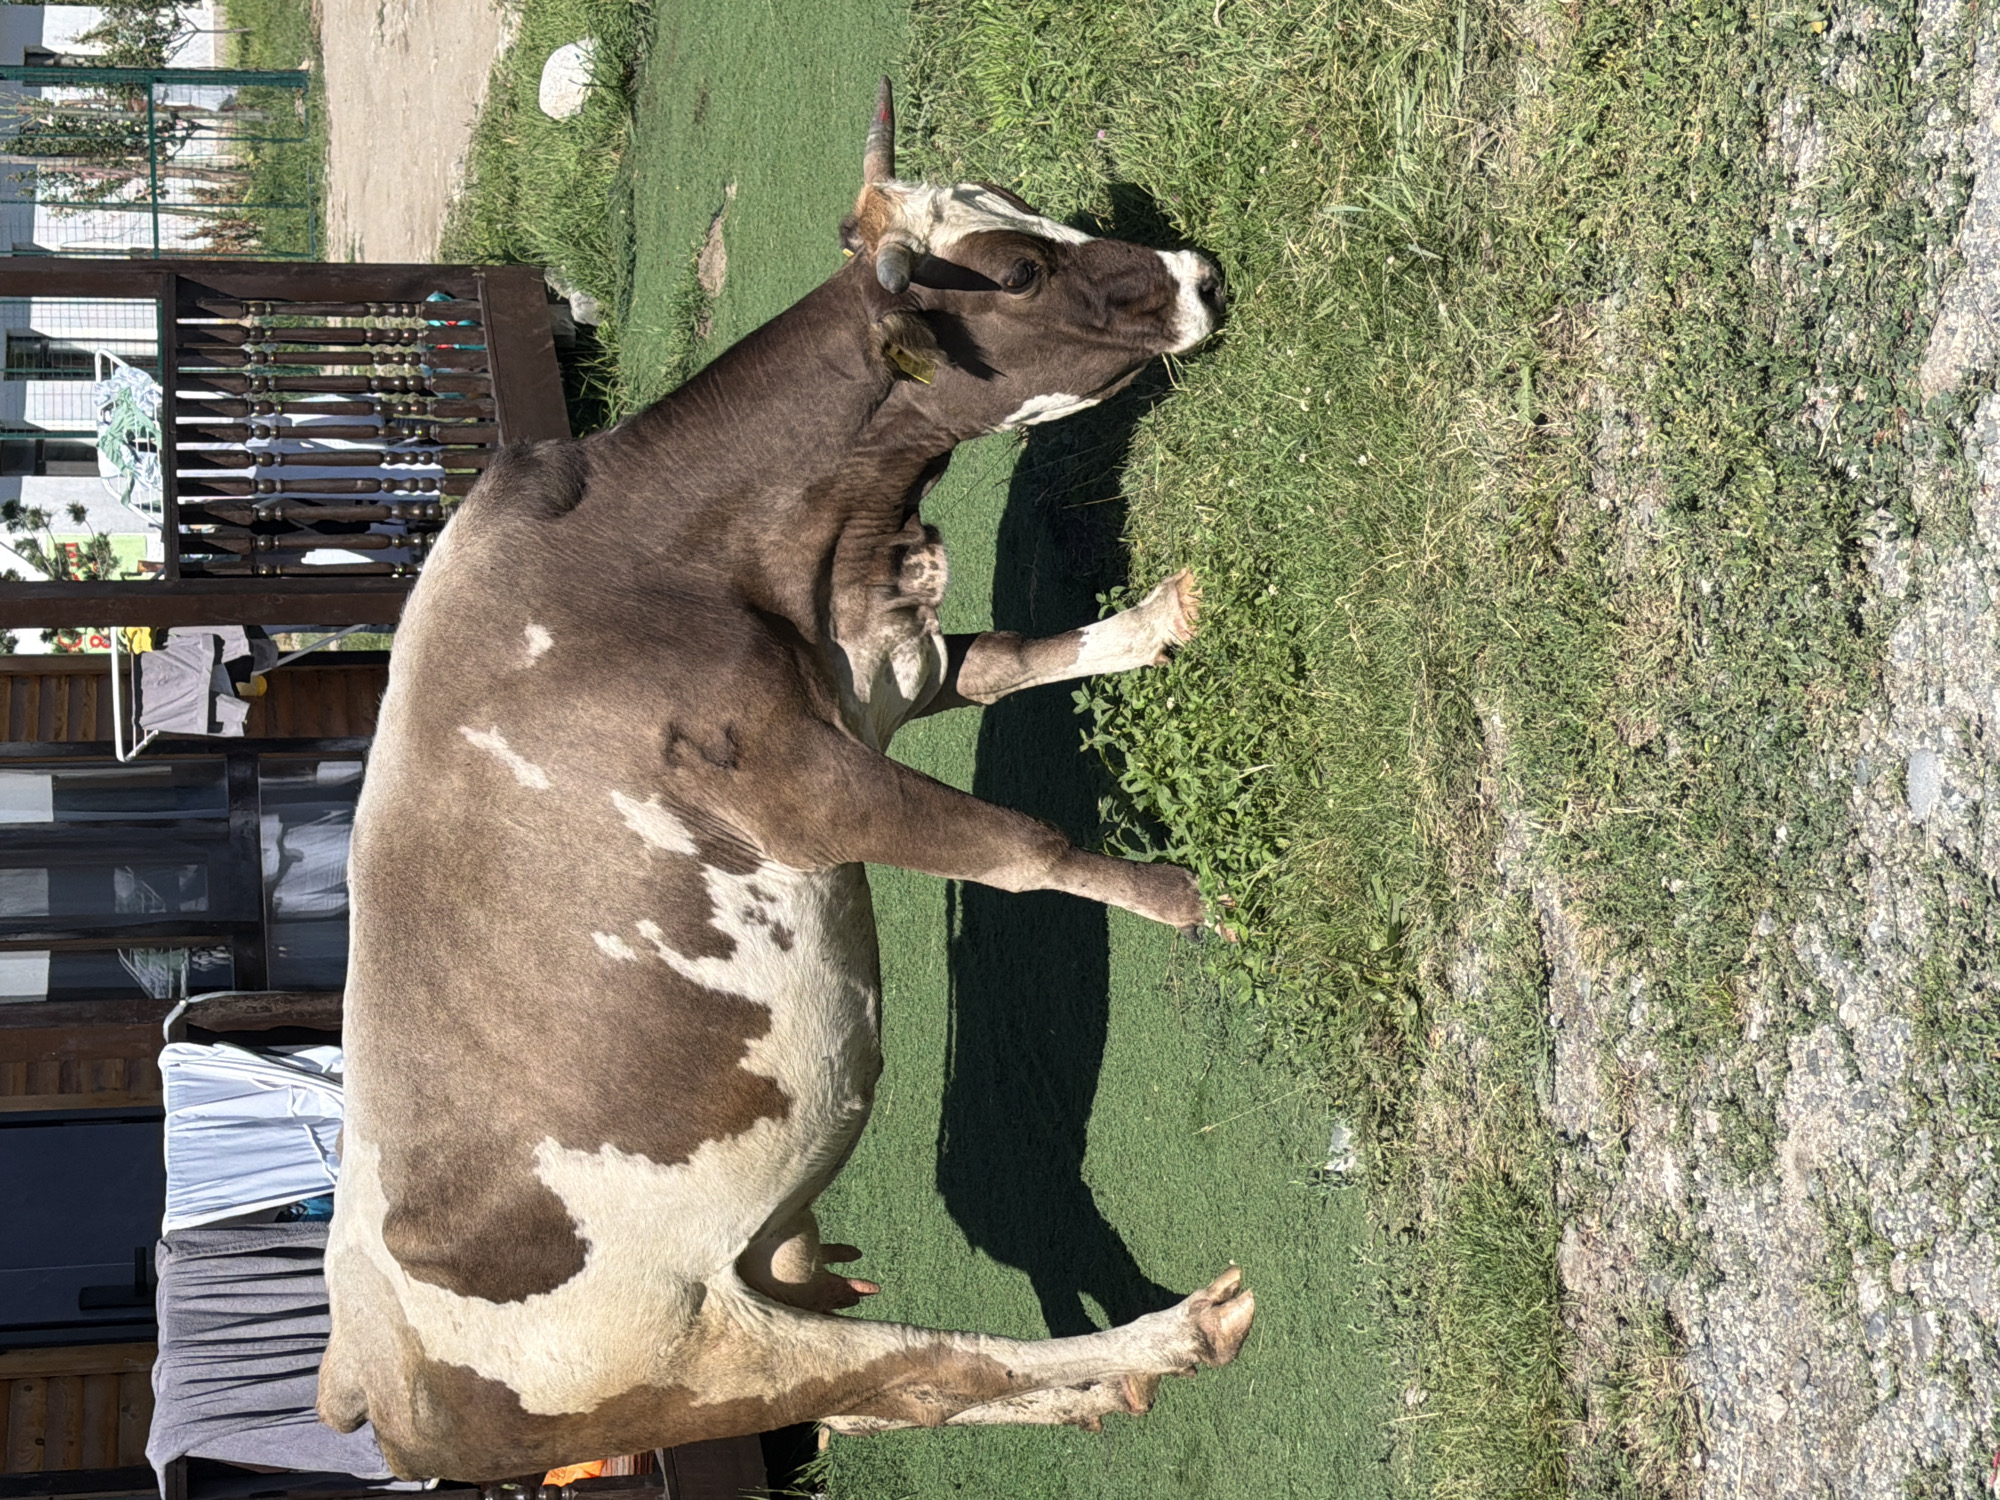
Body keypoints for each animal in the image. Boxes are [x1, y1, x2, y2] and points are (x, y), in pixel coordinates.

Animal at [317, 79, 1254, 1480]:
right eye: (1018, 273)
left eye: (1023, 206)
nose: (1201, 274)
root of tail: (362, 1371)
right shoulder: (806, 787)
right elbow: (1020, 846)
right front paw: (1194, 899)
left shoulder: (874, 674)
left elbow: (1006, 660)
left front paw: (1151, 626)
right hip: (690, 1354)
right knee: (921, 1374)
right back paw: (1169, 1338)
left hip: (763, 1286)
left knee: (894, 1392)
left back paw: (1101, 1391)